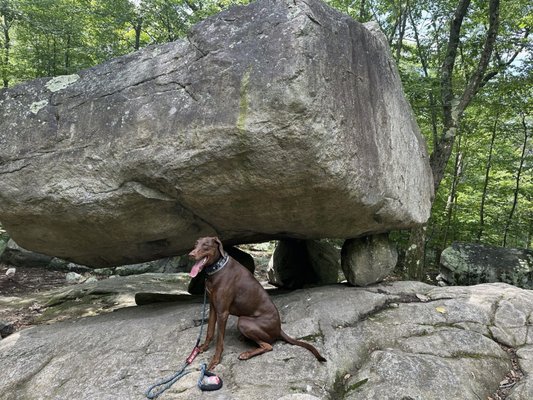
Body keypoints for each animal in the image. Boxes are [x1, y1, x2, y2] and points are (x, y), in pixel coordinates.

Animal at [189, 236, 326, 370]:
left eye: (206, 245)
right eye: (196, 244)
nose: (191, 255)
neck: (217, 269)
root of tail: (279, 329)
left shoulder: (222, 312)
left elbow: (219, 340)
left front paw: (215, 361)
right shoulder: (213, 307)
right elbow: (209, 331)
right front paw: (203, 348)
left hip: (244, 321)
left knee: (268, 346)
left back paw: (246, 354)